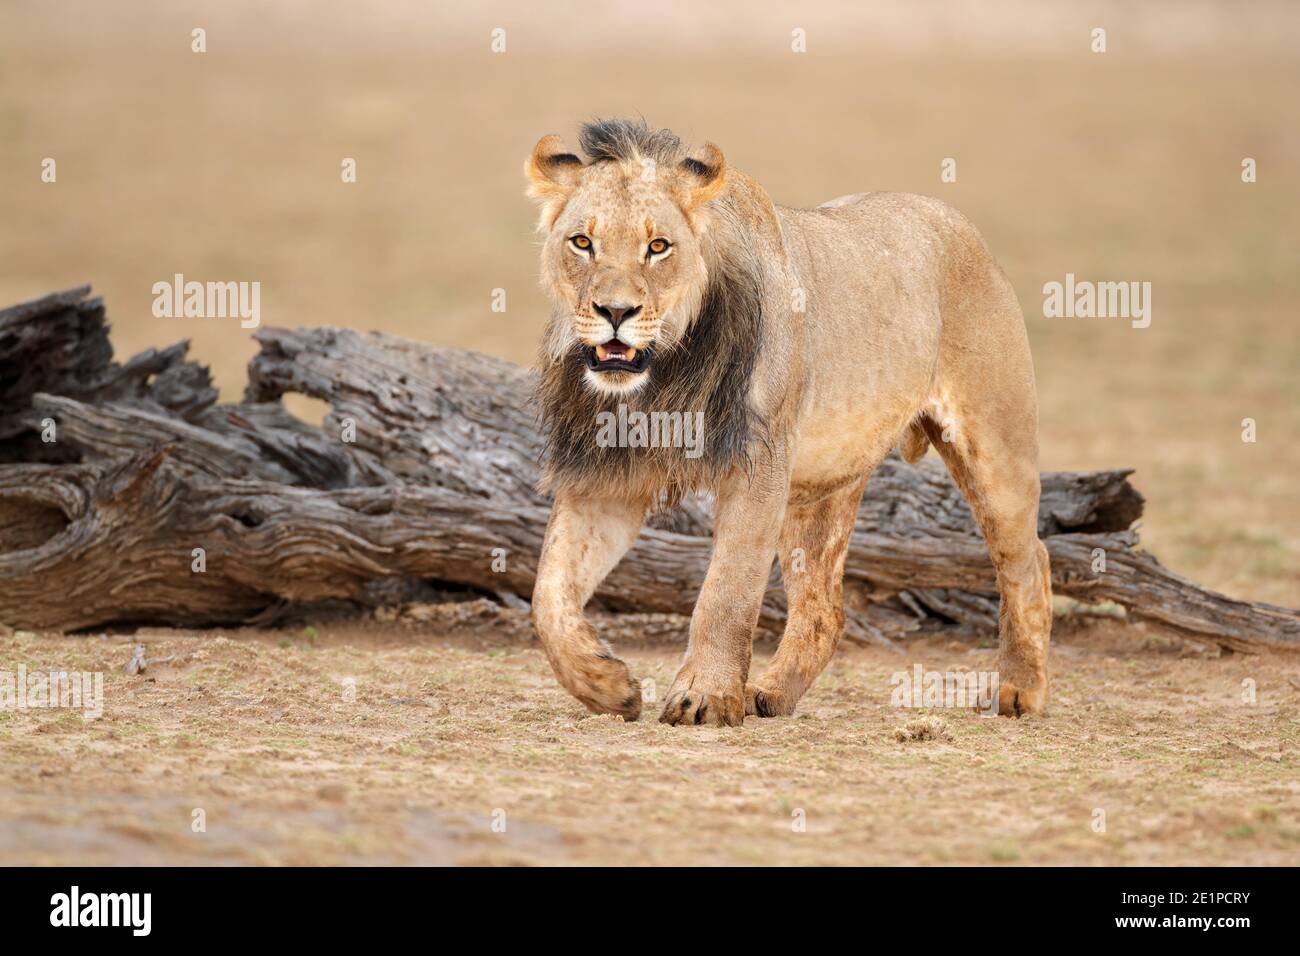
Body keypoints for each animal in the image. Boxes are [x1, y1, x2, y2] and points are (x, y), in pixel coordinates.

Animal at [525, 119, 1052, 726]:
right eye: (581, 243)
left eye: (658, 247)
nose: (615, 312)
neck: (661, 377)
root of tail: (959, 223)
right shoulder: (605, 479)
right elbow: (548, 596)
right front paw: (606, 684)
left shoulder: (759, 467)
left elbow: (726, 591)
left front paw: (704, 697)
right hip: (821, 488)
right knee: (825, 609)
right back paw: (770, 692)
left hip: (995, 449)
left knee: (1028, 562)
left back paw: (1020, 691)